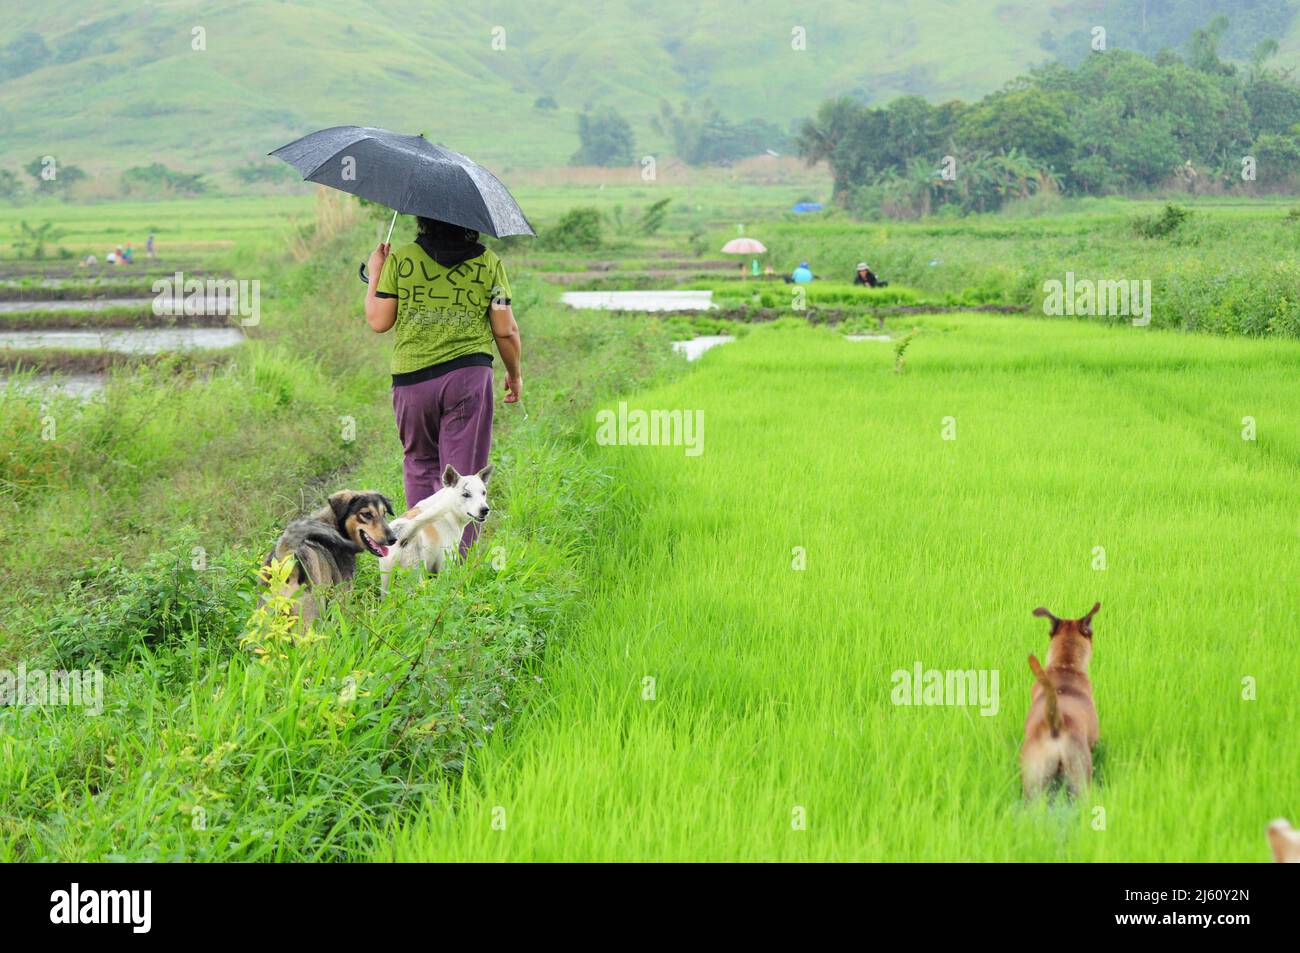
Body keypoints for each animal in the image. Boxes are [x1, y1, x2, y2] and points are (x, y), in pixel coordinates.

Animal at [257, 491, 390, 624]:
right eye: (366, 514)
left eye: (384, 513)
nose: (393, 538)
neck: (334, 526)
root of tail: (285, 556)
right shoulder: (342, 601)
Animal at [379, 462, 496, 595]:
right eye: (466, 494)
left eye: (483, 493)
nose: (485, 510)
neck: (449, 510)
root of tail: (404, 533)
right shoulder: (445, 562)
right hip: (416, 575)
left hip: (386, 579)